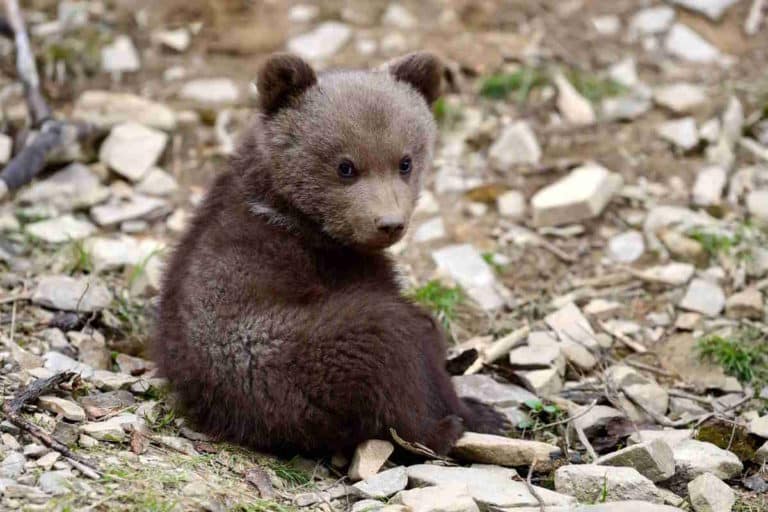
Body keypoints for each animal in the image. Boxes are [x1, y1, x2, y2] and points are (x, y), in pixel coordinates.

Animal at [153, 52, 508, 456]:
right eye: (345, 166)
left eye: (405, 161)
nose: (389, 223)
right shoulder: (337, 264)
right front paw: (478, 406)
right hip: (302, 352)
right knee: (394, 358)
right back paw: (451, 423)